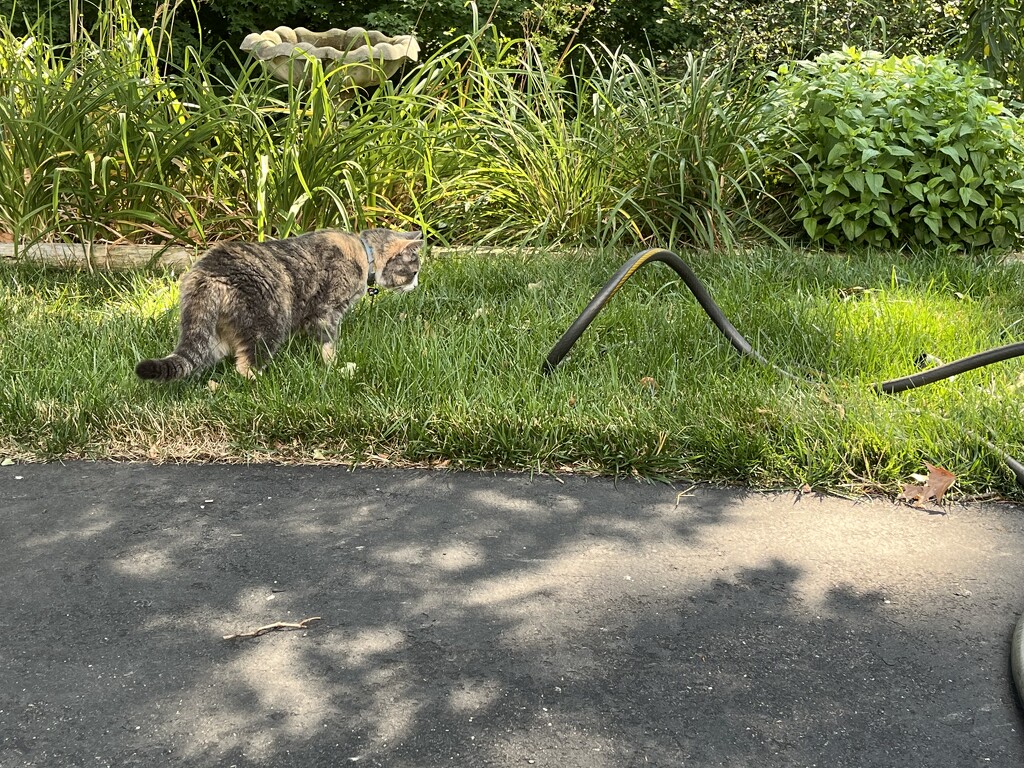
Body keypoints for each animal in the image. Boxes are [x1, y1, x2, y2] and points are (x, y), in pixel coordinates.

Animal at [136, 228, 423, 385]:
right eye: (414, 271)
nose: (417, 286)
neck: (365, 254)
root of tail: (207, 273)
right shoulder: (328, 311)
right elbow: (329, 344)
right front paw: (334, 366)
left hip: (214, 334)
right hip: (269, 323)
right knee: (245, 365)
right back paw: (263, 382)